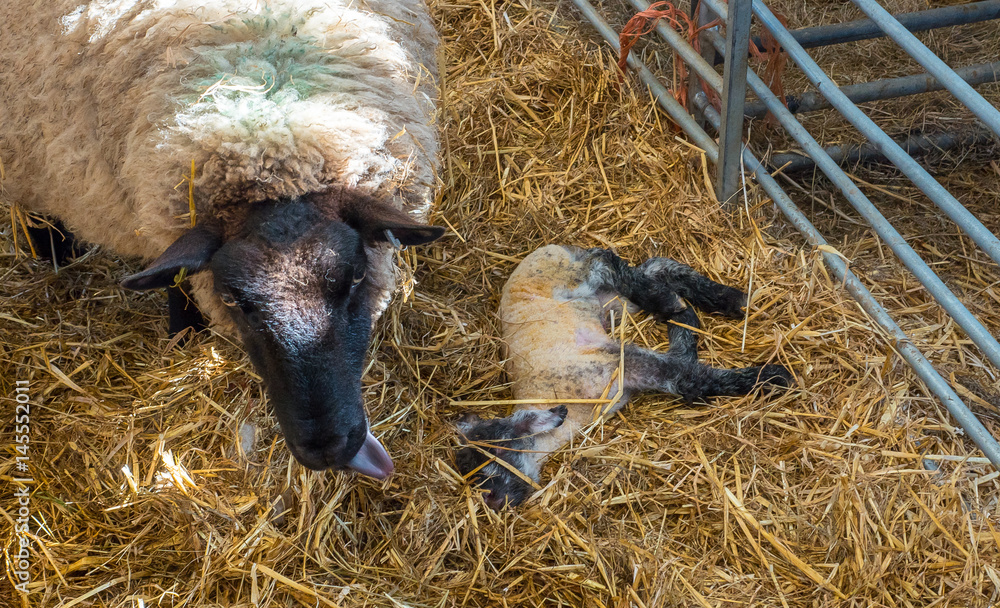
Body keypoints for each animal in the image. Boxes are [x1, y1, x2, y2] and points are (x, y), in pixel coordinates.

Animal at [0, 0, 444, 478]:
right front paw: (185, 328)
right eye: (231, 299)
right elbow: (175, 275)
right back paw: (51, 244)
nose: (327, 450)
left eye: (357, 278)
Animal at [455, 245, 792, 509]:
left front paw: (775, 377)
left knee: (606, 260)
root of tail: (550, 248)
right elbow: (686, 363)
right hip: (610, 301)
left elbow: (688, 376)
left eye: (492, 455)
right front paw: (686, 323)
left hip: (572, 276)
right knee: (651, 268)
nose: (493, 502)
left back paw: (682, 301)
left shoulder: (622, 364)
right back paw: (713, 300)